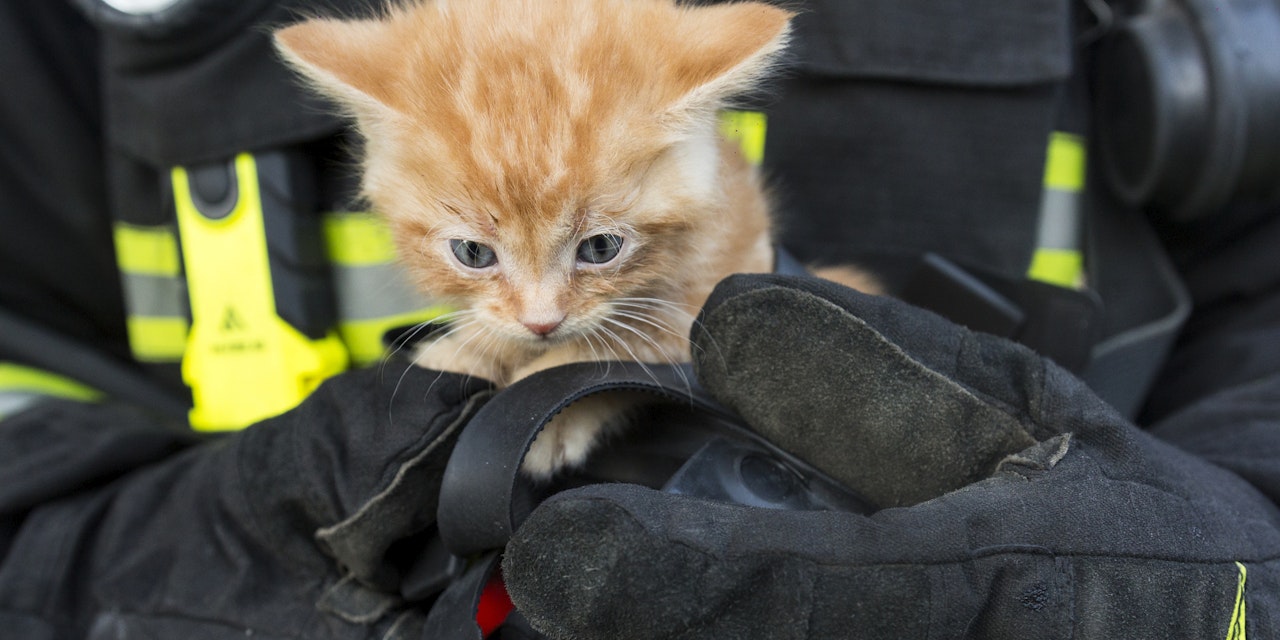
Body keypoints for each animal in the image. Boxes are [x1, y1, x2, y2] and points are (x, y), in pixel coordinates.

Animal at [277, 0, 798, 476]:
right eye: (473, 253)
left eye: (601, 248)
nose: (541, 323)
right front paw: (464, 350)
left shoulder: (720, 277)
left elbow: (619, 345)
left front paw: (546, 412)